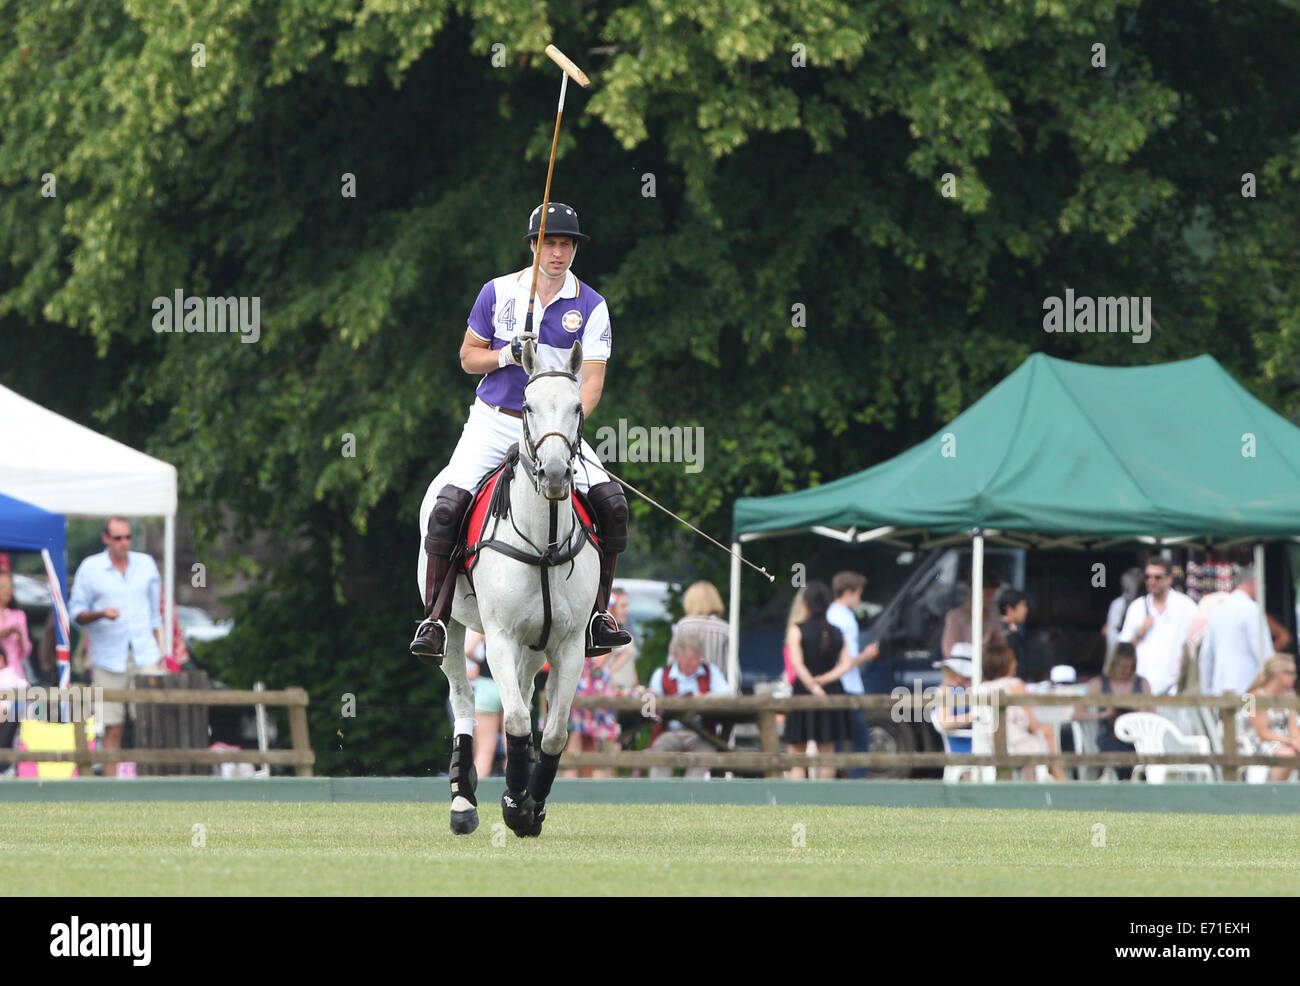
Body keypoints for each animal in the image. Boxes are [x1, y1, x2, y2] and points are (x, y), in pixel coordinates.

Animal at [436, 343, 598, 837]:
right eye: (526, 406)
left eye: (577, 407)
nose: (555, 474)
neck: (544, 542)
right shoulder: (499, 639)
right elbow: (515, 720)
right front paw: (513, 804)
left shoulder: (569, 645)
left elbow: (554, 730)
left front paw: (531, 805)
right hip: (453, 627)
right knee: (465, 698)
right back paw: (463, 802)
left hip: (534, 645)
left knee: (526, 694)